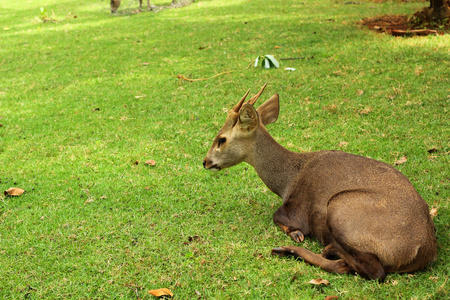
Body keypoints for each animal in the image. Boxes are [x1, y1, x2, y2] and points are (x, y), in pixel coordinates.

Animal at [203, 83, 436, 280]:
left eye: (221, 139)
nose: (205, 161)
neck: (287, 180)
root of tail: (421, 248)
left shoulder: (296, 210)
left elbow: (277, 216)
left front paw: (295, 234)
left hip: (342, 206)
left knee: (370, 270)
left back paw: (317, 248)